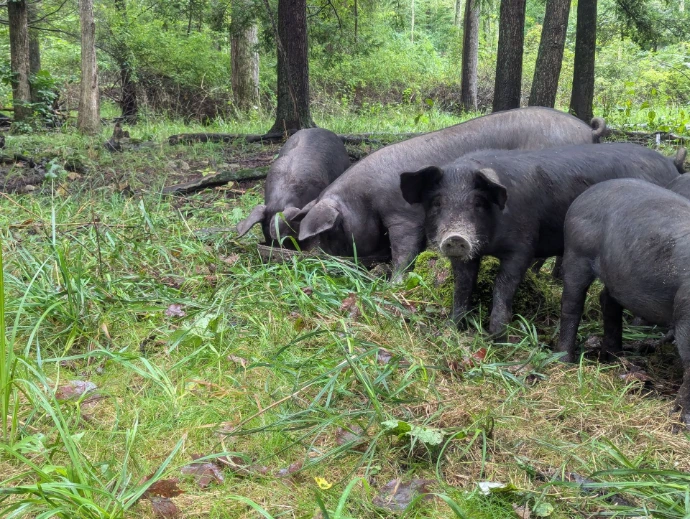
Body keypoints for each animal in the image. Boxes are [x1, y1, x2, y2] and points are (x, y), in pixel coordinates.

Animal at [296, 107, 606, 272]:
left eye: (329, 231)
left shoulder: (404, 214)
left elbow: (405, 249)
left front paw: (393, 282)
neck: (364, 198)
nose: (310, 259)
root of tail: (588, 130)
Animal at [399, 142, 683, 338]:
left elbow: (504, 285)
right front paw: (453, 329)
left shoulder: (523, 243)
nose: (456, 237)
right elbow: (462, 286)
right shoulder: (469, 255)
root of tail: (669, 164)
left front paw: (496, 336)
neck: (492, 243)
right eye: (437, 202)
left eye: (478, 202)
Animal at [556, 178, 690, 427]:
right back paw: (564, 362)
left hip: (615, 274)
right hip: (576, 252)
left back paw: (615, 358)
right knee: (571, 304)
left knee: (608, 301)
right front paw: (683, 422)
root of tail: (586, 194)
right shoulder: (685, 312)